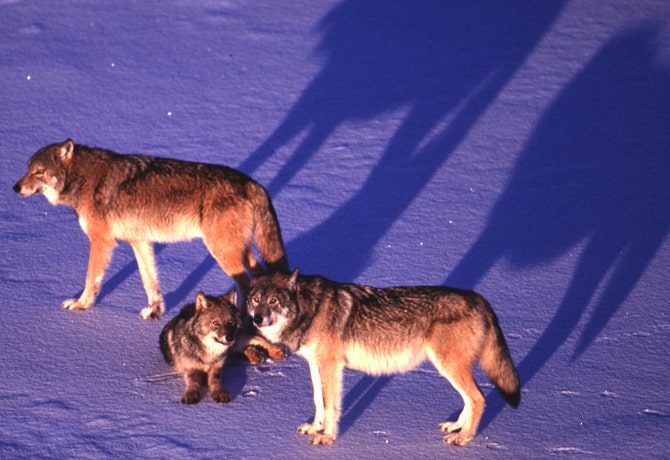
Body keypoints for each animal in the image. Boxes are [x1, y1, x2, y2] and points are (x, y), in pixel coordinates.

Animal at [13, 139, 288, 319]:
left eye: (39, 171)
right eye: (27, 168)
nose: (15, 188)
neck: (82, 179)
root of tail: (251, 182)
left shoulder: (101, 241)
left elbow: (91, 279)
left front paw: (81, 305)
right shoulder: (140, 242)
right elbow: (149, 281)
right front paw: (155, 311)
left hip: (223, 253)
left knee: (246, 285)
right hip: (240, 251)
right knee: (259, 277)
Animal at [247, 269, 521, 446]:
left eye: (273, 301)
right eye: (256, 300)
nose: (257, 319)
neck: (309, 309)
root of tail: (476, 296)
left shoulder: (330, 366)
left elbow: (331, 404)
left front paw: (327, 436)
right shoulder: (316, 364)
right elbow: (318, 400)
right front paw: (316, 426)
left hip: (448, 366)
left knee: (478, 398)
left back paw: (463, 438)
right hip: (446, 367)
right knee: (470, 399)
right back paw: (456, 426)